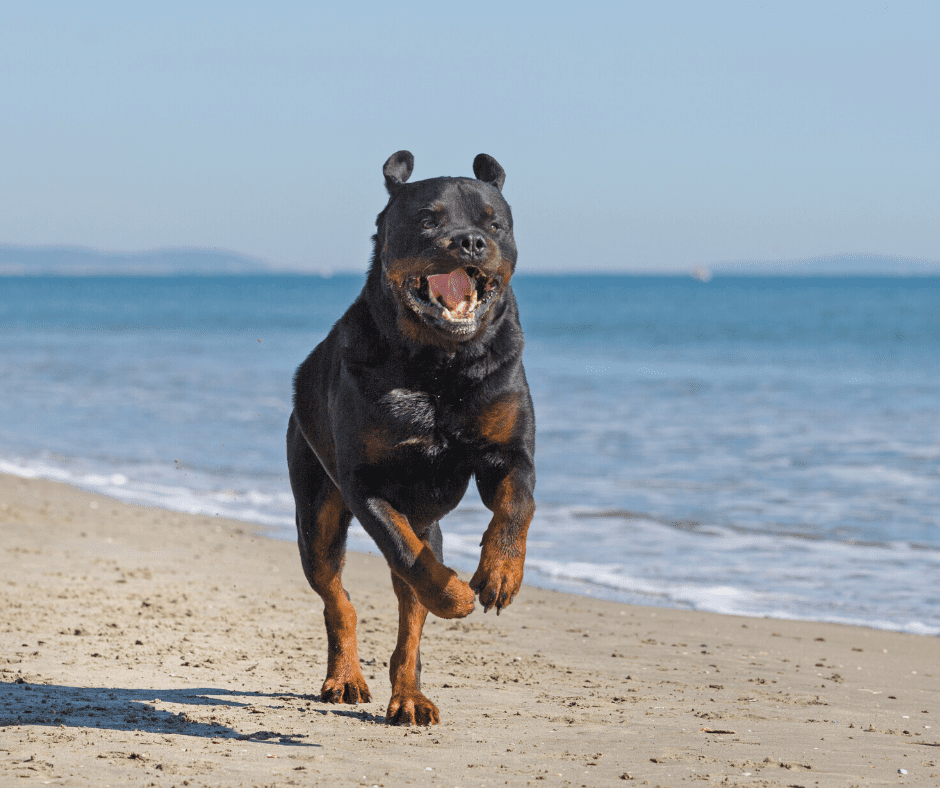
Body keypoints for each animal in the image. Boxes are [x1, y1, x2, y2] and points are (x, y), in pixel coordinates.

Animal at [286, 151, 536, 724]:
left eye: (494, 222)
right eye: (427, 219)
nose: (470, 242)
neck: (439, 366)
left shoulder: (508, 451)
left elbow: (517, 503)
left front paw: (500, 573)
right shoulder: (367, 484)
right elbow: (406, 555)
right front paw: (458, 597)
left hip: (424, 521)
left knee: (410, 622)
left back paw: (409, 697)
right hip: (317, 516)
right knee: (340, 598)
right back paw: (345, 678)